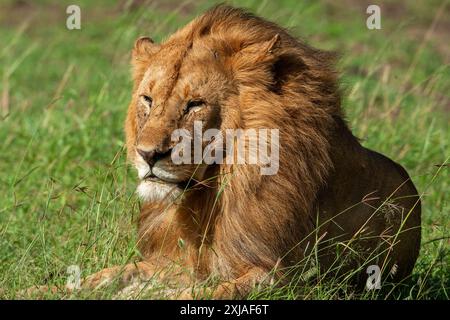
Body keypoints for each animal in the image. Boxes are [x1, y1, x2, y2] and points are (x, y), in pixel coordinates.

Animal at [29, 5, 420, 300]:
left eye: (195, 104)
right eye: (148, 99)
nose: (147, 154)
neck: (205, 197)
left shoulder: (281, 274)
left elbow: (209, 291)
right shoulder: (170, 261)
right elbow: (108, 275)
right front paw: (42, 289)